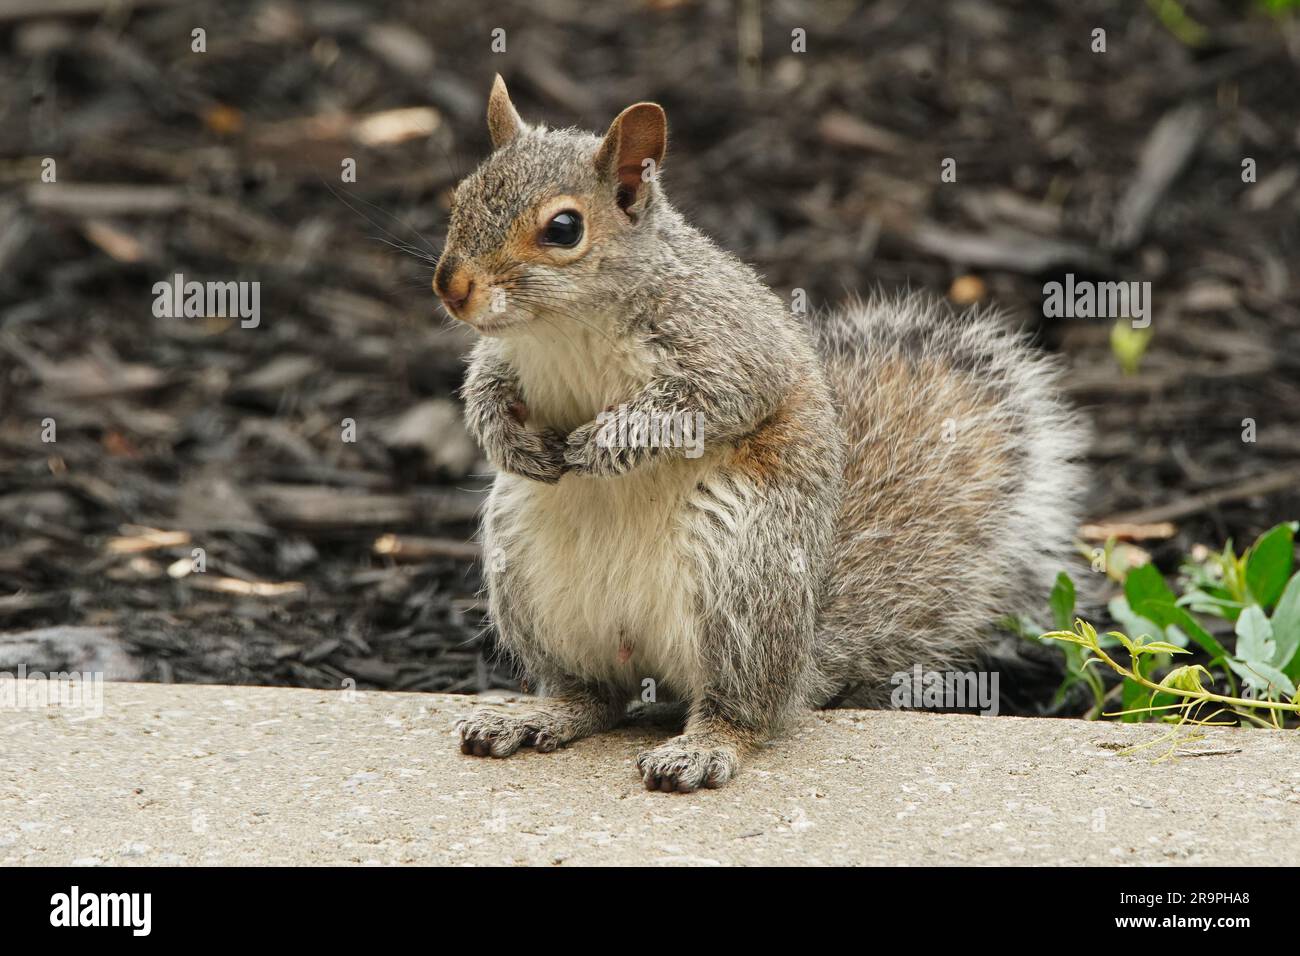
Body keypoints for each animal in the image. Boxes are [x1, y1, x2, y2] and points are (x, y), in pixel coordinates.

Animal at [440, 76, 1088, 792]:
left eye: (563, 228)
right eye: (459, 197)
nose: (450, 287)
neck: (561, 328)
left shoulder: (728, 345)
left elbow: (706, 402)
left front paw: (607, 442)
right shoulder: (506, 356)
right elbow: (485, 386)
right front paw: (507, 438)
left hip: (742, 574)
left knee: (744, 709)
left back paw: (703, 747)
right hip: (528, 572)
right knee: (596, 695)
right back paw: (537, 716)